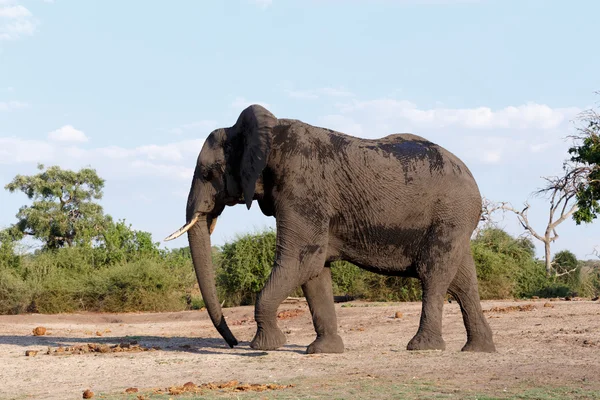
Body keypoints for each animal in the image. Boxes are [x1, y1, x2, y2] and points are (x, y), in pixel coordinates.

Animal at [165, 104, 496, 354]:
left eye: (208, 173)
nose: (234, 344)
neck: (267, 133)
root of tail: (471, 176)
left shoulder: (302, 187)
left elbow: (300, 260)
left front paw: (265, 346)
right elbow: (314, 270)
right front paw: (323, 351)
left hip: (449, 215)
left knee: (434, 274)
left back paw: (422, 347)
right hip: (455, 220)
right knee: (463, 280)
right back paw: (478, 349)